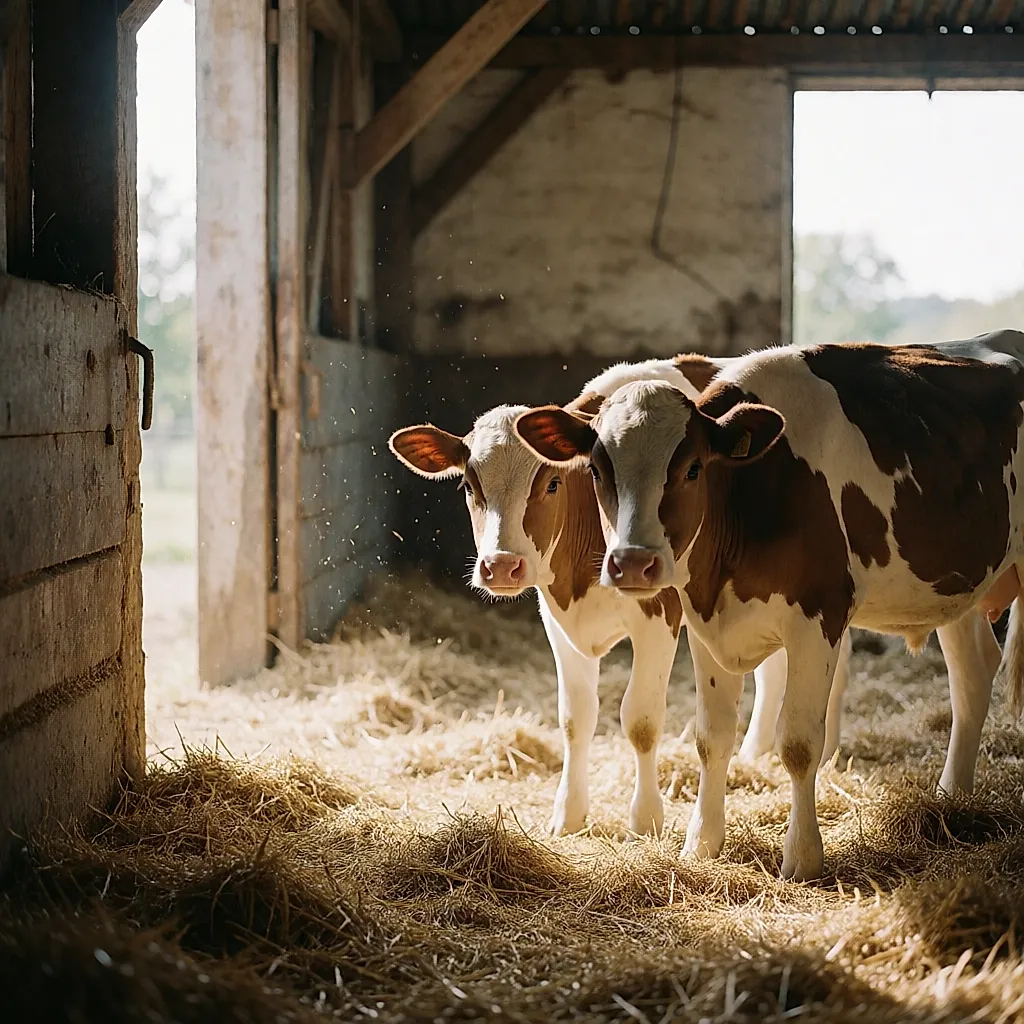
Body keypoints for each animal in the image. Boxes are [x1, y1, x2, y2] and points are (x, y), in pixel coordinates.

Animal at [389, 353, 851, 840]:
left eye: (552, 484)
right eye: (469, 487)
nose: (500, 566)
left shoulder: (660, 614)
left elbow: (641, 720)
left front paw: (645, 818)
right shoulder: (557, 619)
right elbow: (575, 718)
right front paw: (568, 814)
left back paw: (830, 754)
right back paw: (755, 750)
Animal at [514, 332, 1024, 880]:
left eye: (693, 468)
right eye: (597, 470)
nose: (632, 563)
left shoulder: (818, 616)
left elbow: (799, 744)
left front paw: (802, 858)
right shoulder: (704, 619)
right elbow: (712, 736)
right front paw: (702, 843)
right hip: (959, 585)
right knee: (972, 674)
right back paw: (952, 797)